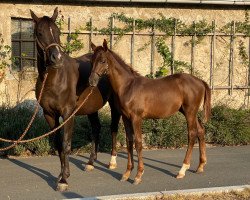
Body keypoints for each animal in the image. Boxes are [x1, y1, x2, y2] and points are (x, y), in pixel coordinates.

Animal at [30, 8, 120, 191]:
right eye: (40, 32)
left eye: (58, 31)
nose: (56, 58)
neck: (55, 80)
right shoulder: (49, 115)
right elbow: (58, 145)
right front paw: (61, 175)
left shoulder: (68, 114)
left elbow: (66, 144)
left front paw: (64, 180)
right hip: (91, 108)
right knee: (96, 128)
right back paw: (91, 162)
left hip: (114, 106)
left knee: (113, 128)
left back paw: (112, 162)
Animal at [89, 39, 212, 185]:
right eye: (91, 61)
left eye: (102, 60)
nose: (91, 81)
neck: (128, 86)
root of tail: (200, 81)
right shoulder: (126, 118)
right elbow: (129, 141)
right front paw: (127, 173)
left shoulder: (136, 118)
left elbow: (138, 142)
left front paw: (138, 175)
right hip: (189, 112)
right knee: (201, 130)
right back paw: (200, 166)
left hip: (189, 112)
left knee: (192, 134)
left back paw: (182, 170)